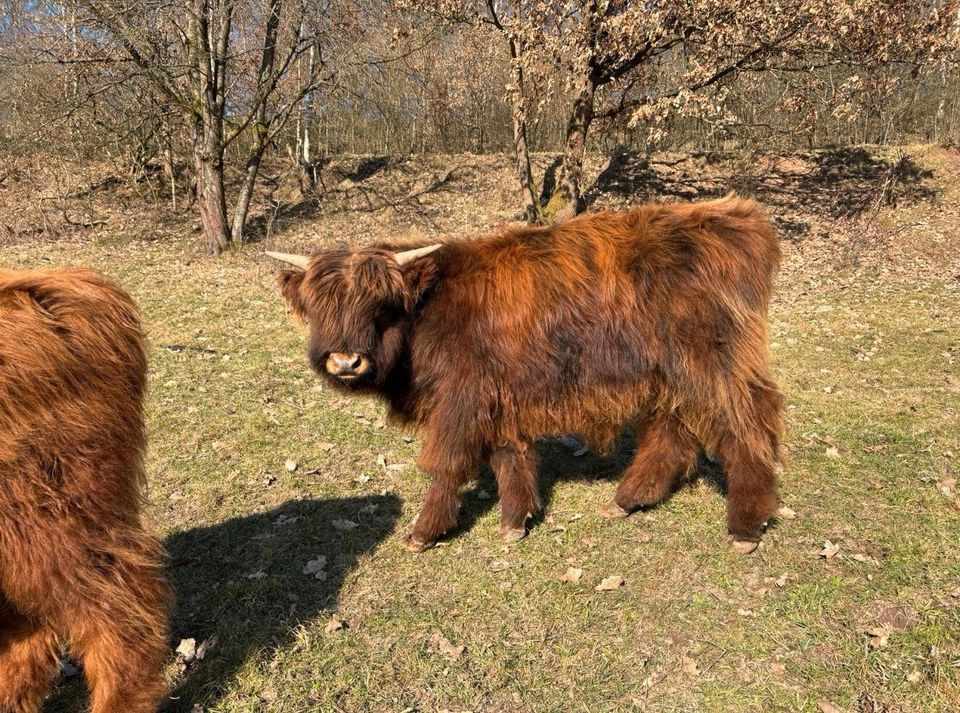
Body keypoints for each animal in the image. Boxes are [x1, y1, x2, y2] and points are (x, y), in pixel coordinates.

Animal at [270, 197, 788, 552]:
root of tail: (737, 219)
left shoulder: (462, 399)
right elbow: (508, 455)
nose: (345, 362)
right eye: (318, 305)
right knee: (671, 433)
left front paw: (424, 532)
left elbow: (445, 463)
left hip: (713, 366)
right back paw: (626, 500)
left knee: (748, 424)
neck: (428, 312)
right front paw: (515, 522)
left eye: (379, 305)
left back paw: (745, 526)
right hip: (668, 376)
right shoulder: (497, 396)